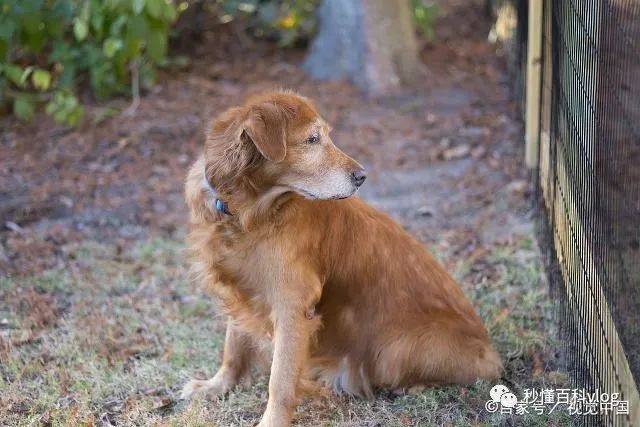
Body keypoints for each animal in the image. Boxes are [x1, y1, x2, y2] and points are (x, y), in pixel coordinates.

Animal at [181, 91, 501, 426]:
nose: (362, 176)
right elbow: (233, 347)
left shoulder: (293, 306)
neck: (245, 211)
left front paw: (271, 421)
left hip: (394, 349)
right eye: (312, 139)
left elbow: (279, 380)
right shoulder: (238, 287)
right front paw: (215, 386)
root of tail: (489, 350)